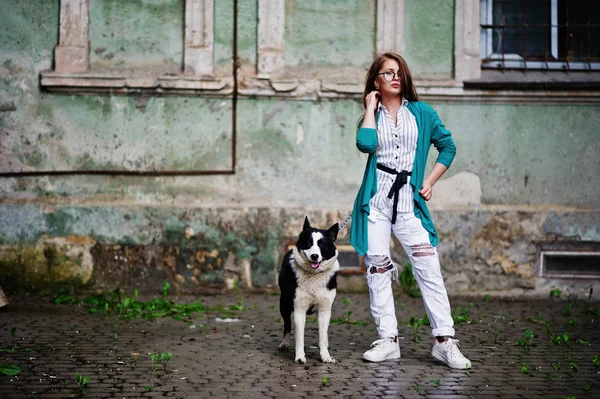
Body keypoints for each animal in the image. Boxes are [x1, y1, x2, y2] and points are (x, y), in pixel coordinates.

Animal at [278, 217, 340, 364]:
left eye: (322, 244)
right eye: (308, 242)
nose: (315, 256)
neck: (314, 275)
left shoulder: (324, 310)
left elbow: (322, 336)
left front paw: (326, 356)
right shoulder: (299, 309)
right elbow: (299, 337)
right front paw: (300, 357)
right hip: (284, 304)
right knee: (287, 325)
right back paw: (285, 343)